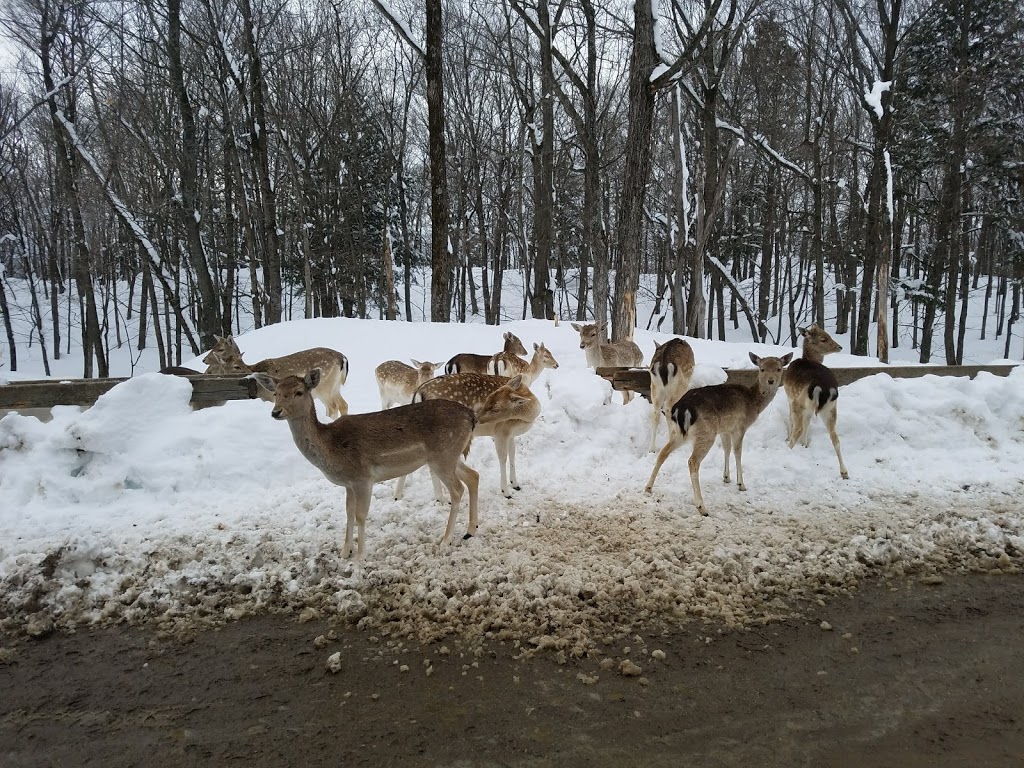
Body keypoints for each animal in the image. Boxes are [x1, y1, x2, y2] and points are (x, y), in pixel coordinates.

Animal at [201, 335, 350, 417]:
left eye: (220, 349)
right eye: (213, 346)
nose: (204, 360)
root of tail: (342, 358)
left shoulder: (270, 397)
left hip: (324, 387)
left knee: (333, 407)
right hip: (335, 387)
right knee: (343, 405)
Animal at [253, 370, 481, 561]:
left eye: (299, 392)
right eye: (275, 393)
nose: (276, 412)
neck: (332, 448)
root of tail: (471, 416)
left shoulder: (363, 478)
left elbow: (360, 516)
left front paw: (360, 557)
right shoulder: (349, 483)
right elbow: (348, 513)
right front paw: (344, 551)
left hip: (443, 456)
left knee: (457, 490)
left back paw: (446, 540)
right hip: (449, 456)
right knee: (473, 476)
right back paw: (470, 530)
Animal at [395, 370, 544, 499]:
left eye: (496, 408)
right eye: (488, 397)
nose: (476, 418)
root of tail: (419, 392)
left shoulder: (511, 434)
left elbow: (513, 455)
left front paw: (516, 484)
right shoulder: (500, 431)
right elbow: (503, 458)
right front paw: (506, 492)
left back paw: (399, 495)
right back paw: (441, 498)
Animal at [643, 354, 794, 518]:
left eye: (779, 369)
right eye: (762, 369)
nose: (771, 381)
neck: (753, 403)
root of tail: (682, 409)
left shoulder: (724, 429)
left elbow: (726, 449)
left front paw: (726, 477)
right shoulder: (739, 427)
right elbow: (737, 452)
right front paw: (741, 484)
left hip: (679, 433)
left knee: (663, 452)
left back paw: (648, 487)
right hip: (706, 433)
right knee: (692, 461)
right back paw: (702, 507)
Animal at [782, 321, 847, 479]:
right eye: (824, 338)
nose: (840, 347)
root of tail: (822, 387)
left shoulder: (790, 397)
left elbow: (793, 420)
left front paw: (796, 441)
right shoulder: (809, 408)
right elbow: (808, 422)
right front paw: (805, 445)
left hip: (798, 401)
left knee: (798, 427)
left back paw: (787, 450)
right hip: (831, 408)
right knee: (835, 437)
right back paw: (844, 472)